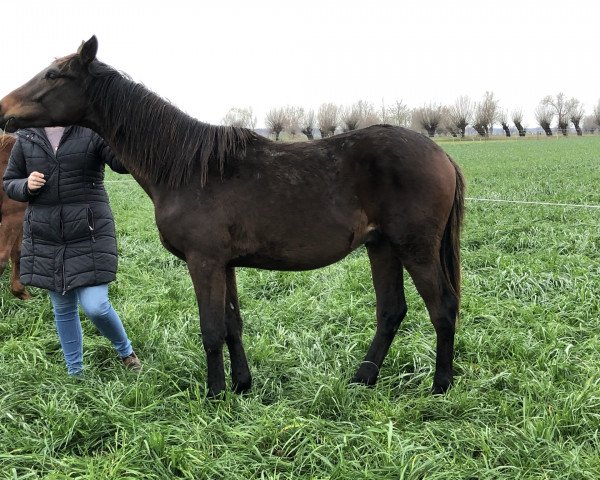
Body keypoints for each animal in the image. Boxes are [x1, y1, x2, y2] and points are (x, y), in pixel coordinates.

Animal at [0, 36, 464, 398]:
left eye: (54, 76)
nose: (4, 108)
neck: (186, 169)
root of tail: (441, 155)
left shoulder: (204, 262)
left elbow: (211, 328)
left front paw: (214, 394)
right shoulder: (225, 264)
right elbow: (232, 324)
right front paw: (242, 386)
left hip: (414, 249)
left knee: (441, 307)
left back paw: (439, 386)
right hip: (381, 246)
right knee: (391, 311)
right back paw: (362, 379)